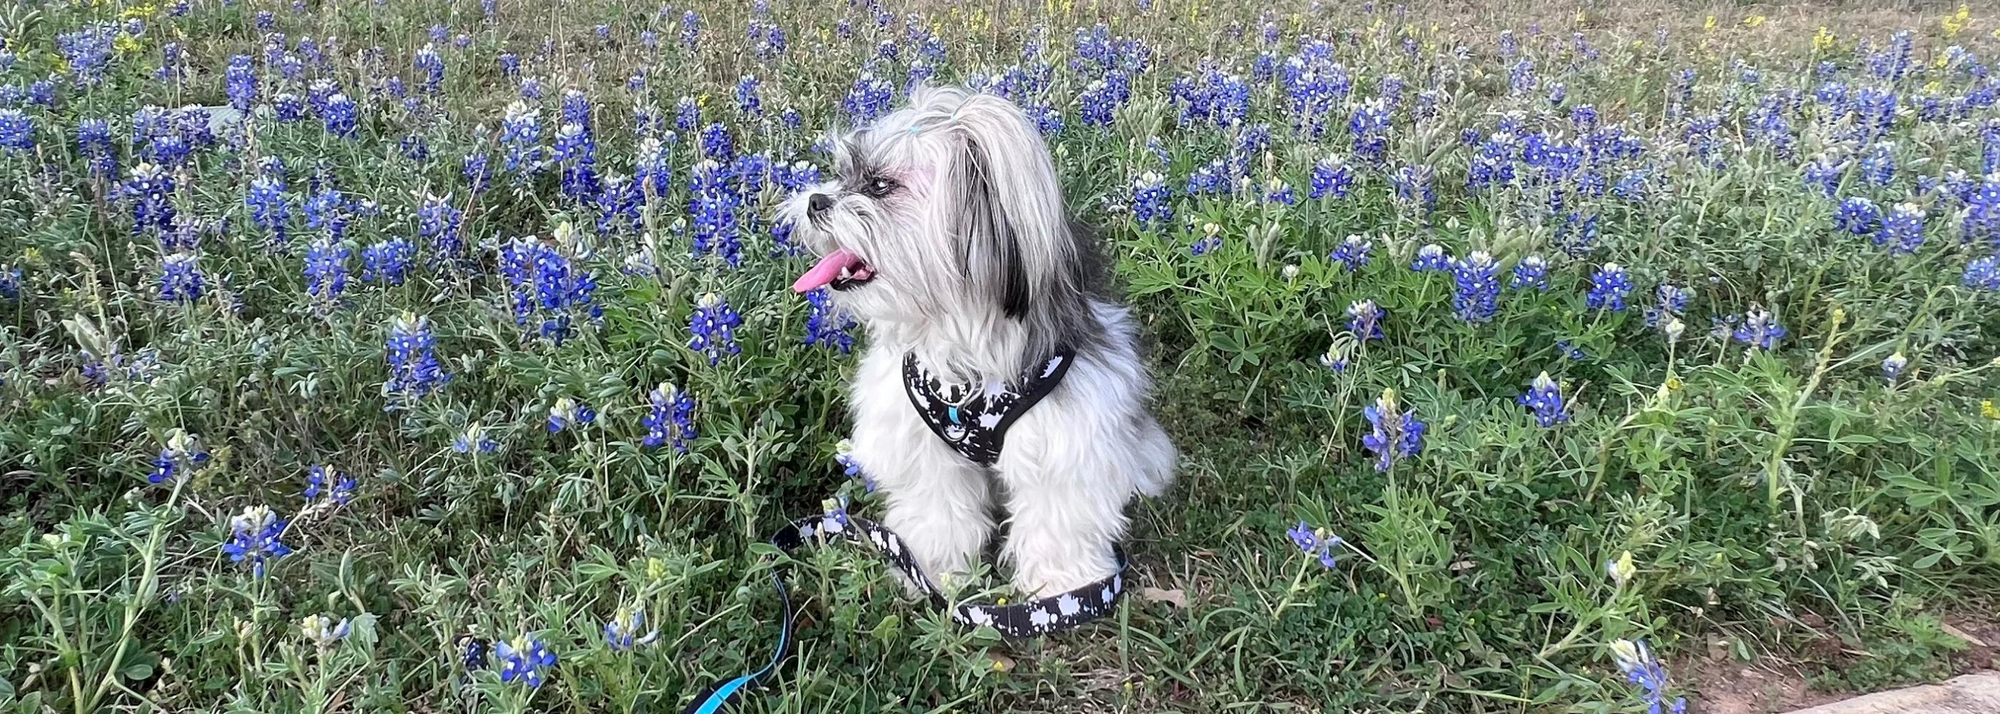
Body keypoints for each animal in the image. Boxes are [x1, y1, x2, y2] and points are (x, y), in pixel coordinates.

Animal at [788, 85, 1176, 600]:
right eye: (841, 174)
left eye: (880, 186)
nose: (816, 200)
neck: (961, 331)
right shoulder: (923, 447)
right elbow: (939, 511)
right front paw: (930, 571)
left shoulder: (1065, 441)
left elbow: (1057, 519)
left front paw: (1062, 586)